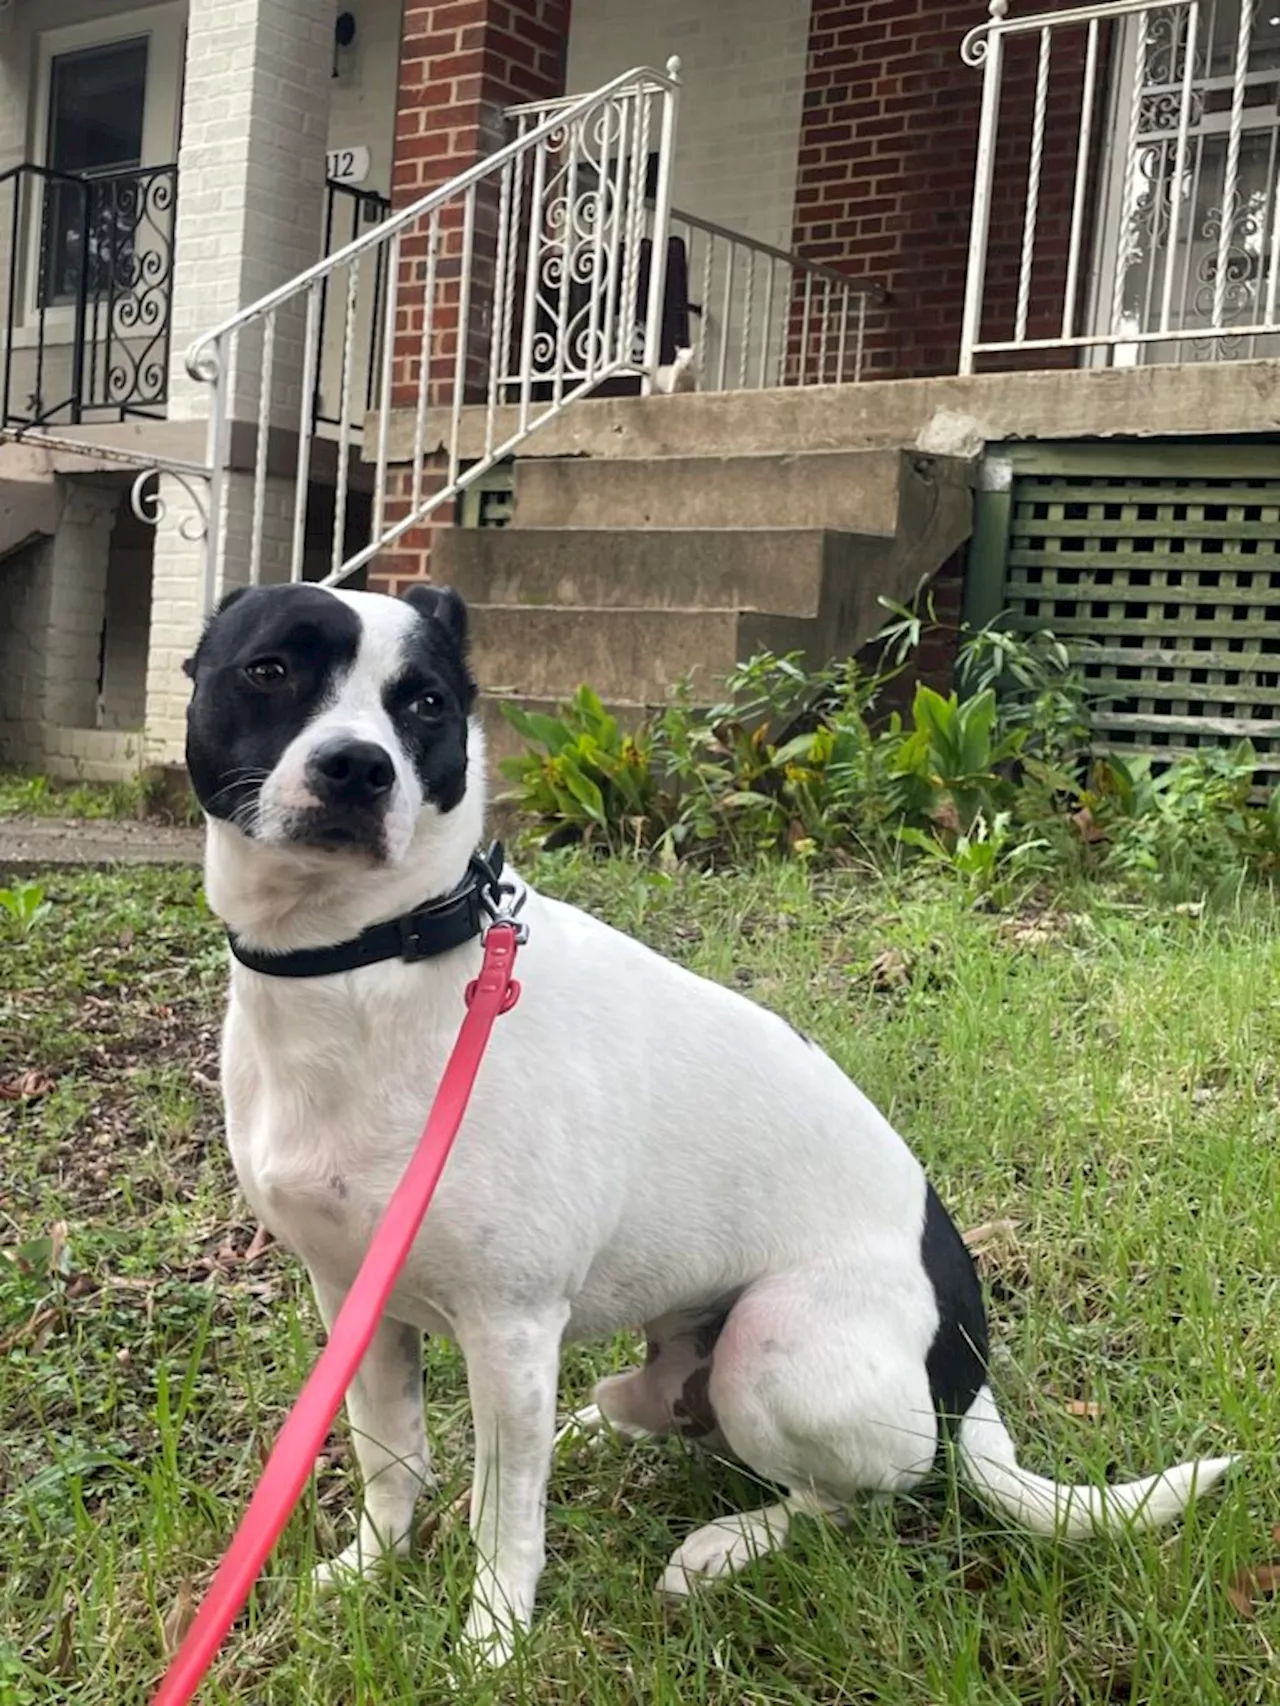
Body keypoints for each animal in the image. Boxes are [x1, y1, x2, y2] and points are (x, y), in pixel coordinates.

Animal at [185, 580, 1235, 1658]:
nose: (358, 766)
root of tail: (965, 1361)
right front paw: (371, 1568)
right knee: (649, 1403)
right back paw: (604, 1422)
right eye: (269, 669)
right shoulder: (356, 1301)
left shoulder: (510, 1328)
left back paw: (723, 1545)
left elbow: (503, 1508)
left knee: (845, 1501)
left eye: (426, 703)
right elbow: (389, 1453)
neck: (366, 960)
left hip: (772, 1347)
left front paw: (492, 1636)